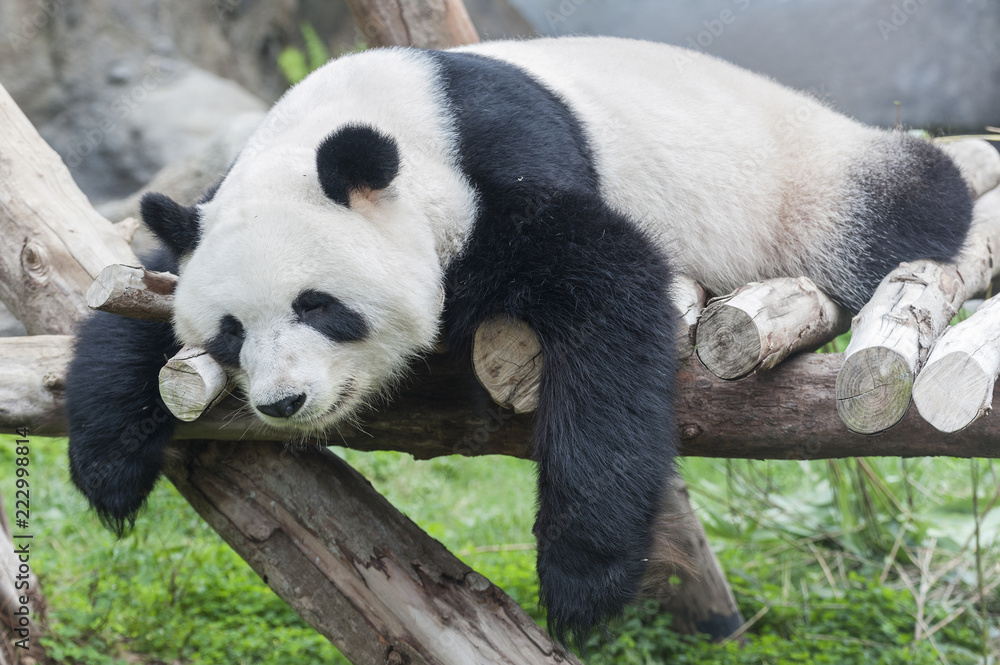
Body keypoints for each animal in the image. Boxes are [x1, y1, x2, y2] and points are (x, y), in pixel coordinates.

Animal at [66, 36, 972, 642]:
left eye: (320, 306)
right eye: (229, 335)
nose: (286, 400)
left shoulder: (500, 169)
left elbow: (612, 298)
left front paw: (580, 581)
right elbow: (137, 286)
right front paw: (107, 464)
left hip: (809, 184)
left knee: (907, 204)